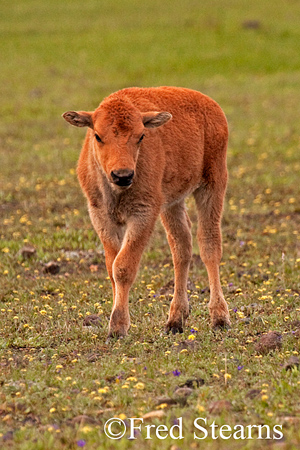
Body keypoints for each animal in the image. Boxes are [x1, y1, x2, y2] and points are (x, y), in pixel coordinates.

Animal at [62, 86, 231, 338]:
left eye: (141, 136)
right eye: (98, 136)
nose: (122, 175)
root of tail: (211, 106)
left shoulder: (143, 214)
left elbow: (123, 267)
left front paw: (118, 326)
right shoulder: (101, 215)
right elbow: (112, 267)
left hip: (212, 184)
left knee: (209, 245)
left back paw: (219, 318)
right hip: (172, 203)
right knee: (181, 247)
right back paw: (175, 321)